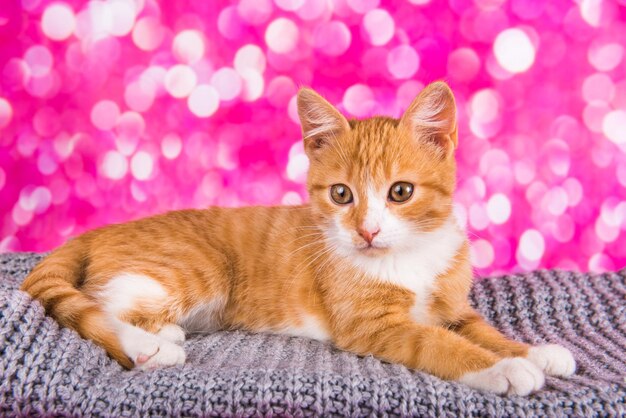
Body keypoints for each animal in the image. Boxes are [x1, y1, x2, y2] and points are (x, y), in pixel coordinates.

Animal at [20, 81, 576, 396]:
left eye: (400, 192)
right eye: (341, 194)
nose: (368, 230)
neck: (408, 256)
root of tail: (102, 229)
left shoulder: (454, 306)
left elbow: (479, 329)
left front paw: (532, 351)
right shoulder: (372, 327)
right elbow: (436, 342)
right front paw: (504, 370)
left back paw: (168, 334)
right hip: (194, 268)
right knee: (99, 303)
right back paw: (150, 346)